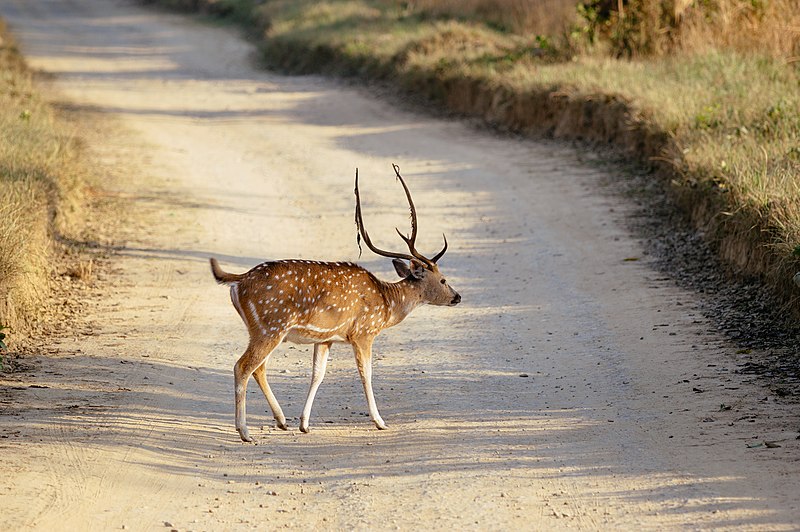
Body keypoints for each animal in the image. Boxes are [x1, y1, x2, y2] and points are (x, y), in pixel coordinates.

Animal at [209, 165, 460, 440]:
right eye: (443, 279)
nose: (457, 297)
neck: (386, 304)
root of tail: (239, 280)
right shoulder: (363, 333)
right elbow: (366, 375)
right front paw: (380, 421)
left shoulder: (326, 338)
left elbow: (317, 375)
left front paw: (305, 424)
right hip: (270, 326)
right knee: (243, 366)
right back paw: (245, 431)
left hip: (263, 330)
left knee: (258, 368)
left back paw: (282, 420)